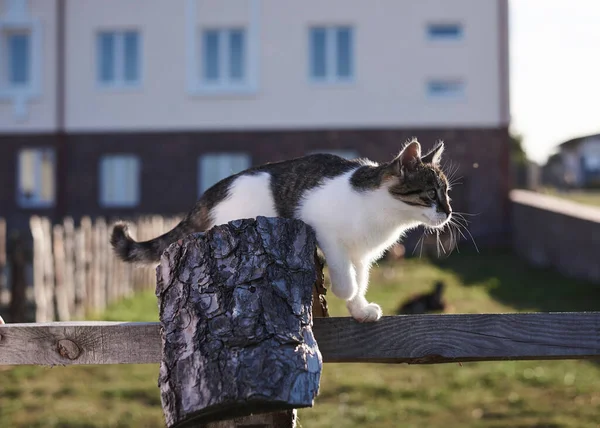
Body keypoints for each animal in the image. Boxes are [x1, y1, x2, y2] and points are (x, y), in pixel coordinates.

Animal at [110, 139, 452, 322]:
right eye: (431, 194)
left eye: (447, 193)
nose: (448, 212)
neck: (386, 213)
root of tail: (209, 194)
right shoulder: (326, 231)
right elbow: (347, 279)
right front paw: (346, 292)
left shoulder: (362, 255)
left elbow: (361, 279)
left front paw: (359, 308)